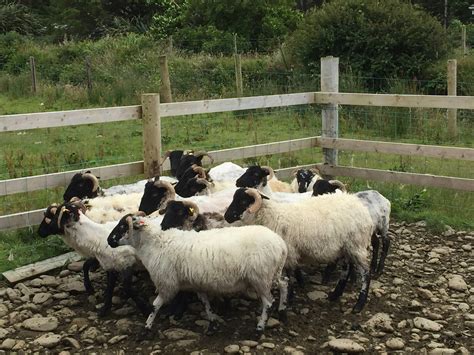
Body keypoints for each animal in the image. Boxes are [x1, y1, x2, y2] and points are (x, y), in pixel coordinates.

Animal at [107, 214, 288, 334]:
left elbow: (155, 305)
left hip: (261, 277)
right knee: (284, 283)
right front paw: (212, 321)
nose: (109, 241)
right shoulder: (197, 283)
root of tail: (281, 244)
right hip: (272, 273)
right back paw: (282, 310)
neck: (156, 243)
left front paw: (146, 327)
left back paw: (260, 326)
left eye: (123, 226)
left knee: (268, 302)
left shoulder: (167, 283)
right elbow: (205, 302)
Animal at [224, 189, 376, 314]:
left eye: (243, 201)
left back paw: (359, 305)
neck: (272, 216)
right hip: (346, 247)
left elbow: (289, 276)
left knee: (366, 273)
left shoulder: (289, 253)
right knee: (347, 269)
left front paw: (289, 298)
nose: (226, 216)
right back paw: (335, 295)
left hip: (357, 244)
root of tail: (361, 206)